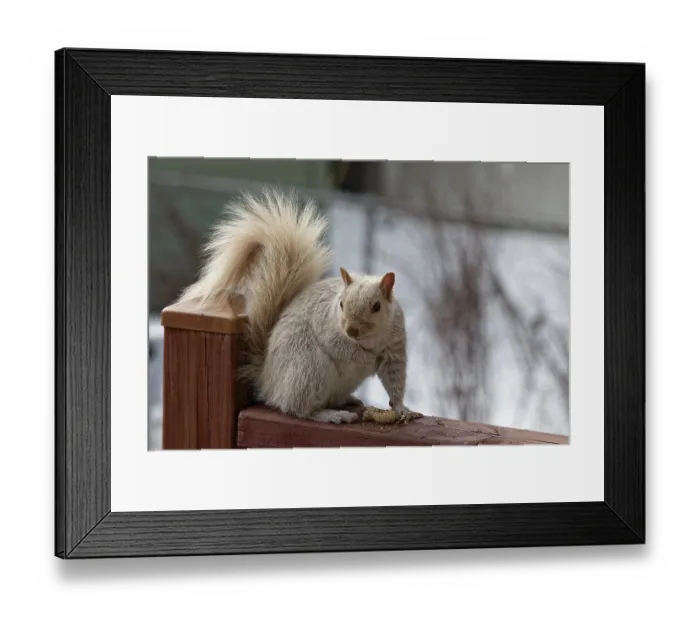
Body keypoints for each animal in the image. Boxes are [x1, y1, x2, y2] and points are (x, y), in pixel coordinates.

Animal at [178, 188, 421, 425]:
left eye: (376, 306)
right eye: (341, 303)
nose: (351, 330)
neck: (369, 338)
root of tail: (268, 381)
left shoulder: (395, 346)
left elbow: (394, 379)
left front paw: (401, 408)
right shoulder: (326, 325)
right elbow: (340, 346)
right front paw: (367, 359)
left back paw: (347, 401)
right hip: (309, 370)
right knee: (298, 409)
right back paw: (331, 415)